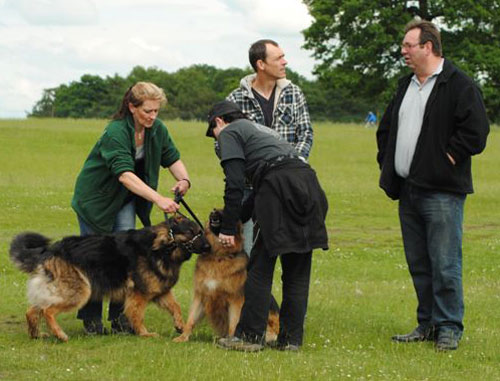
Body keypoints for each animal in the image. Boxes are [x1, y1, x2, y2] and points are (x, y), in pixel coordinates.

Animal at [9, 214, 209, 342]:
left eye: (200, 231)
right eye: (192, 232)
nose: (208, 247)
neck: (161, 248)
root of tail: (50, 250)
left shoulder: (160, 291)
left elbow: (175, 307)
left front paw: (181, 326)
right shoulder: (139, 295)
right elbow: (137, 315)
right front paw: (145, 334)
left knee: (32, 310)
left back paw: (36, 335)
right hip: (80, 291)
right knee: (48, 310)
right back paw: (60, 334)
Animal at [174, 209, 280, 342]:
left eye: (224, 211)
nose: (213, 211)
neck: (218, 256)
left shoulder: (235, 300)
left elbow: (233, 323)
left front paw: (231, 339)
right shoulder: (201, 295)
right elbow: (191, 319)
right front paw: (183, 337)